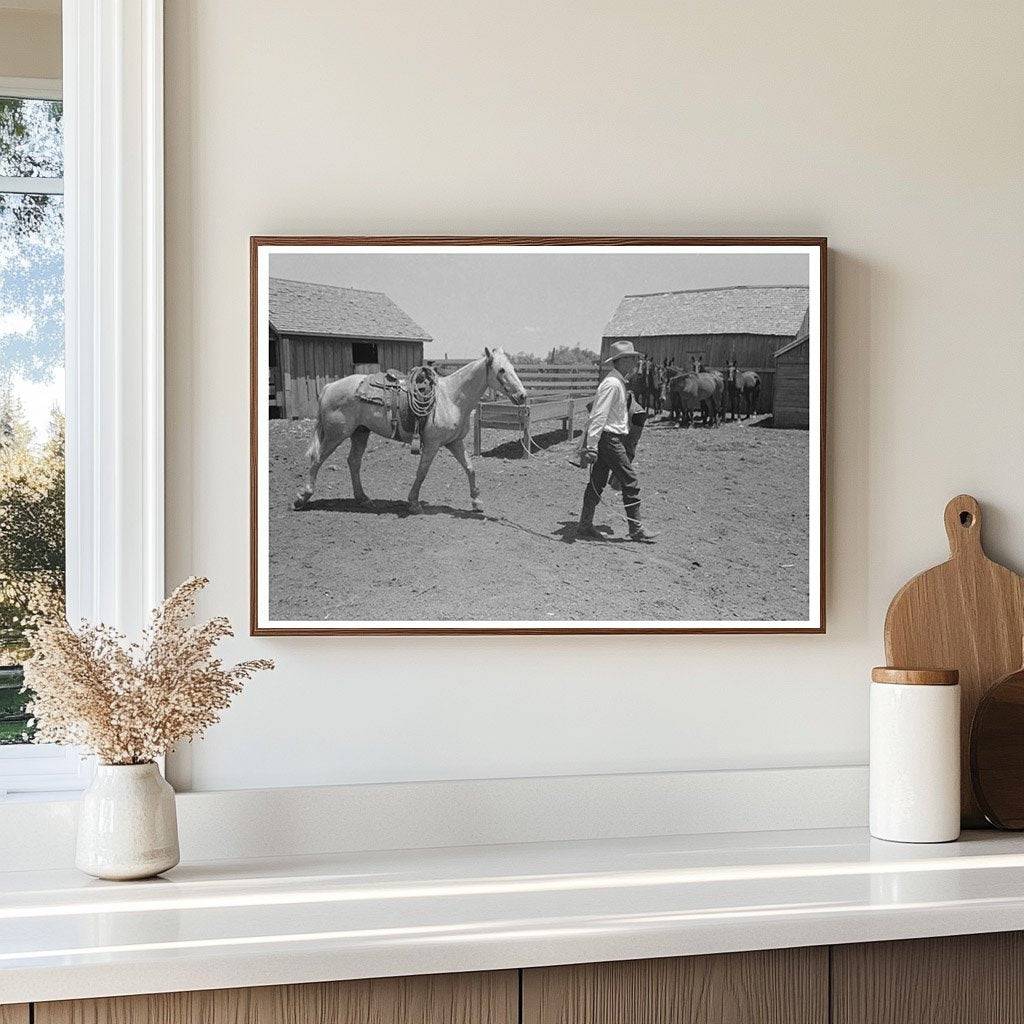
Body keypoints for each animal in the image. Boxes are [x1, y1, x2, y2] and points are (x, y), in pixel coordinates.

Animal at [292, 350, 524, 512]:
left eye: (513, 367)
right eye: (501, 370)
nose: (522, 395)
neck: (451, 398)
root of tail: (328, 387)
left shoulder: (454, 442)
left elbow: (470, 468)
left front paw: (477, 502)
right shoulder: (432, 444)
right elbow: (422, 472)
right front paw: (413, 503)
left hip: (360, 432)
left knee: (353, 462)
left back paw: (363, 498)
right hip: (335, 435)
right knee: (317, 460)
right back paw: (302, 498)